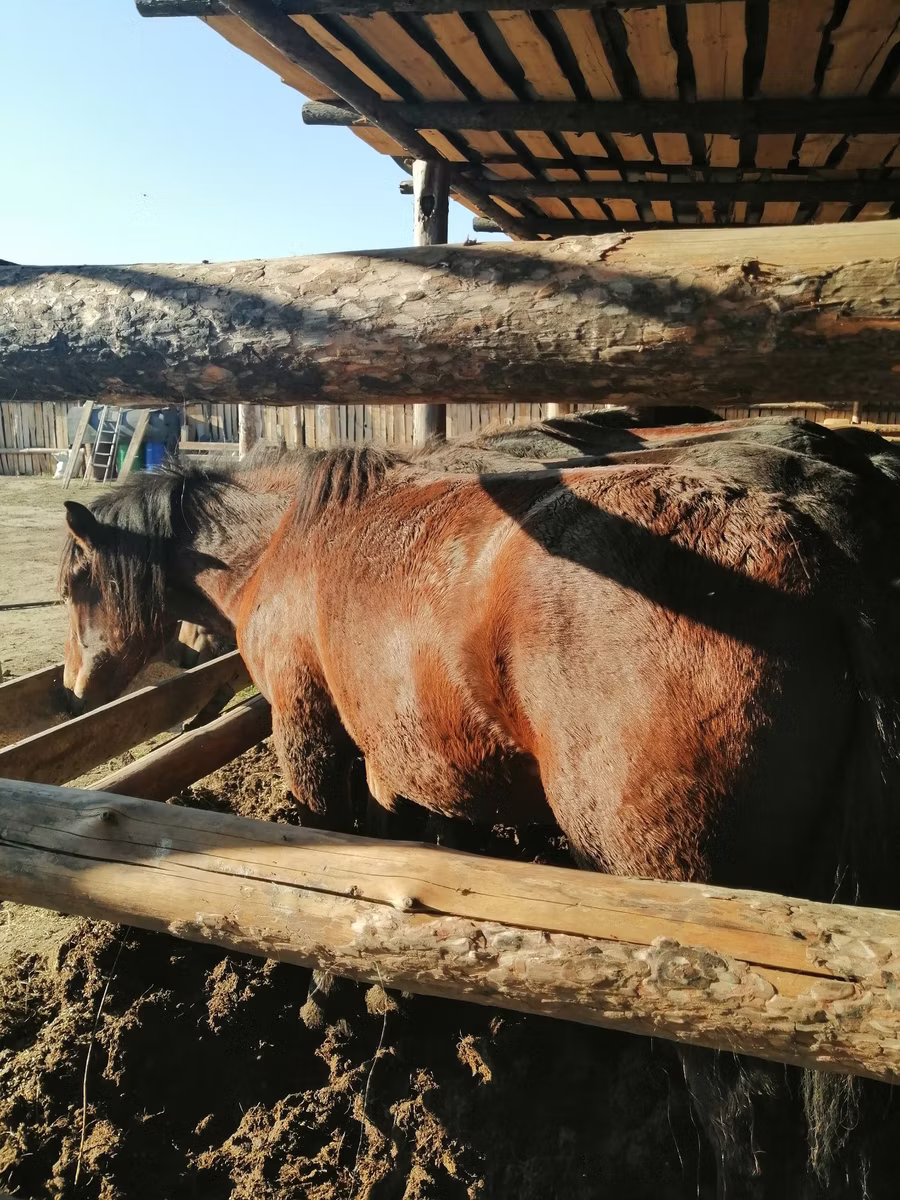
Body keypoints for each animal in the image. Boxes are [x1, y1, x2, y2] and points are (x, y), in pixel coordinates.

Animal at [58, 427, 900, 1198]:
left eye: (74, 582)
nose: (69, 691)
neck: (285, 539)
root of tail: (818, 552)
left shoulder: (310, 734)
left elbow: (332, 857)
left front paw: (328, 998)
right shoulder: (397, 750)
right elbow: (400, 851)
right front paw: (393, 981)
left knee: (737, 1107)